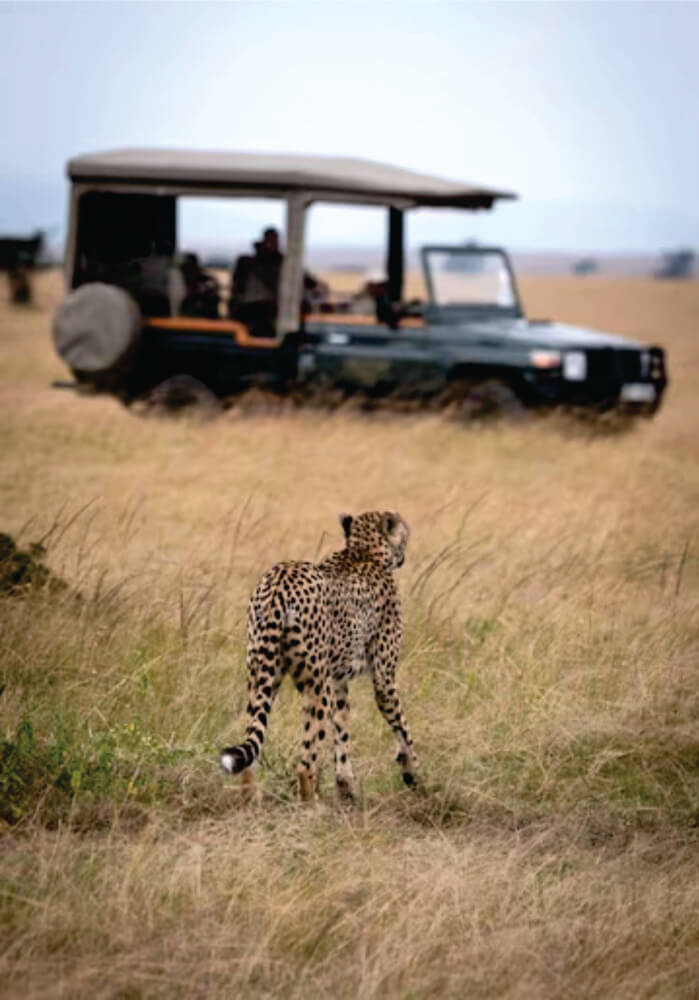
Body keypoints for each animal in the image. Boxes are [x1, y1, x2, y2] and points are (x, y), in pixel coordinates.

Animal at [221, 512, 418, 800]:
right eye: (404, 534)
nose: (404, 554)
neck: (365, 551)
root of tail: (280, 579)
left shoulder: (338, 682)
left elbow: (343, 731)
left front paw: (346, 786)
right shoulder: (382, 678)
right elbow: (402, 726)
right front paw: (412, 772)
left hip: (261, 677)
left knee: (252, 751)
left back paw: (249, 802)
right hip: (315, 685)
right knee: (305, 763)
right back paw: (312, 805)